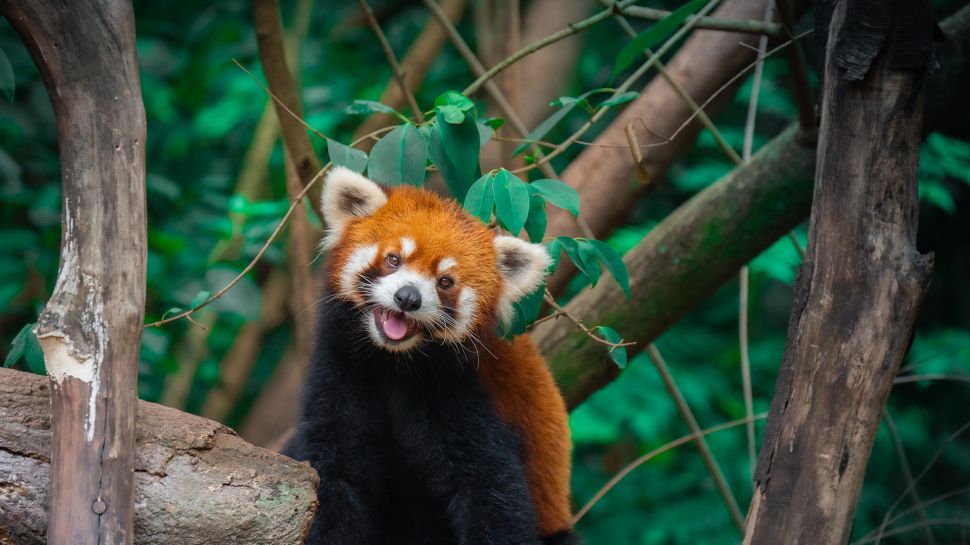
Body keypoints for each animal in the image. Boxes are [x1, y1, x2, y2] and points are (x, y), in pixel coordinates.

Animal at [290, 167, 576, 544]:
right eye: (393, 259)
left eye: (445, 282)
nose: (408, 297)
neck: (393, 362)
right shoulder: (341, 371)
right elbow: (335, 475)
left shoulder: (466, 396)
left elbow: (492, 495)